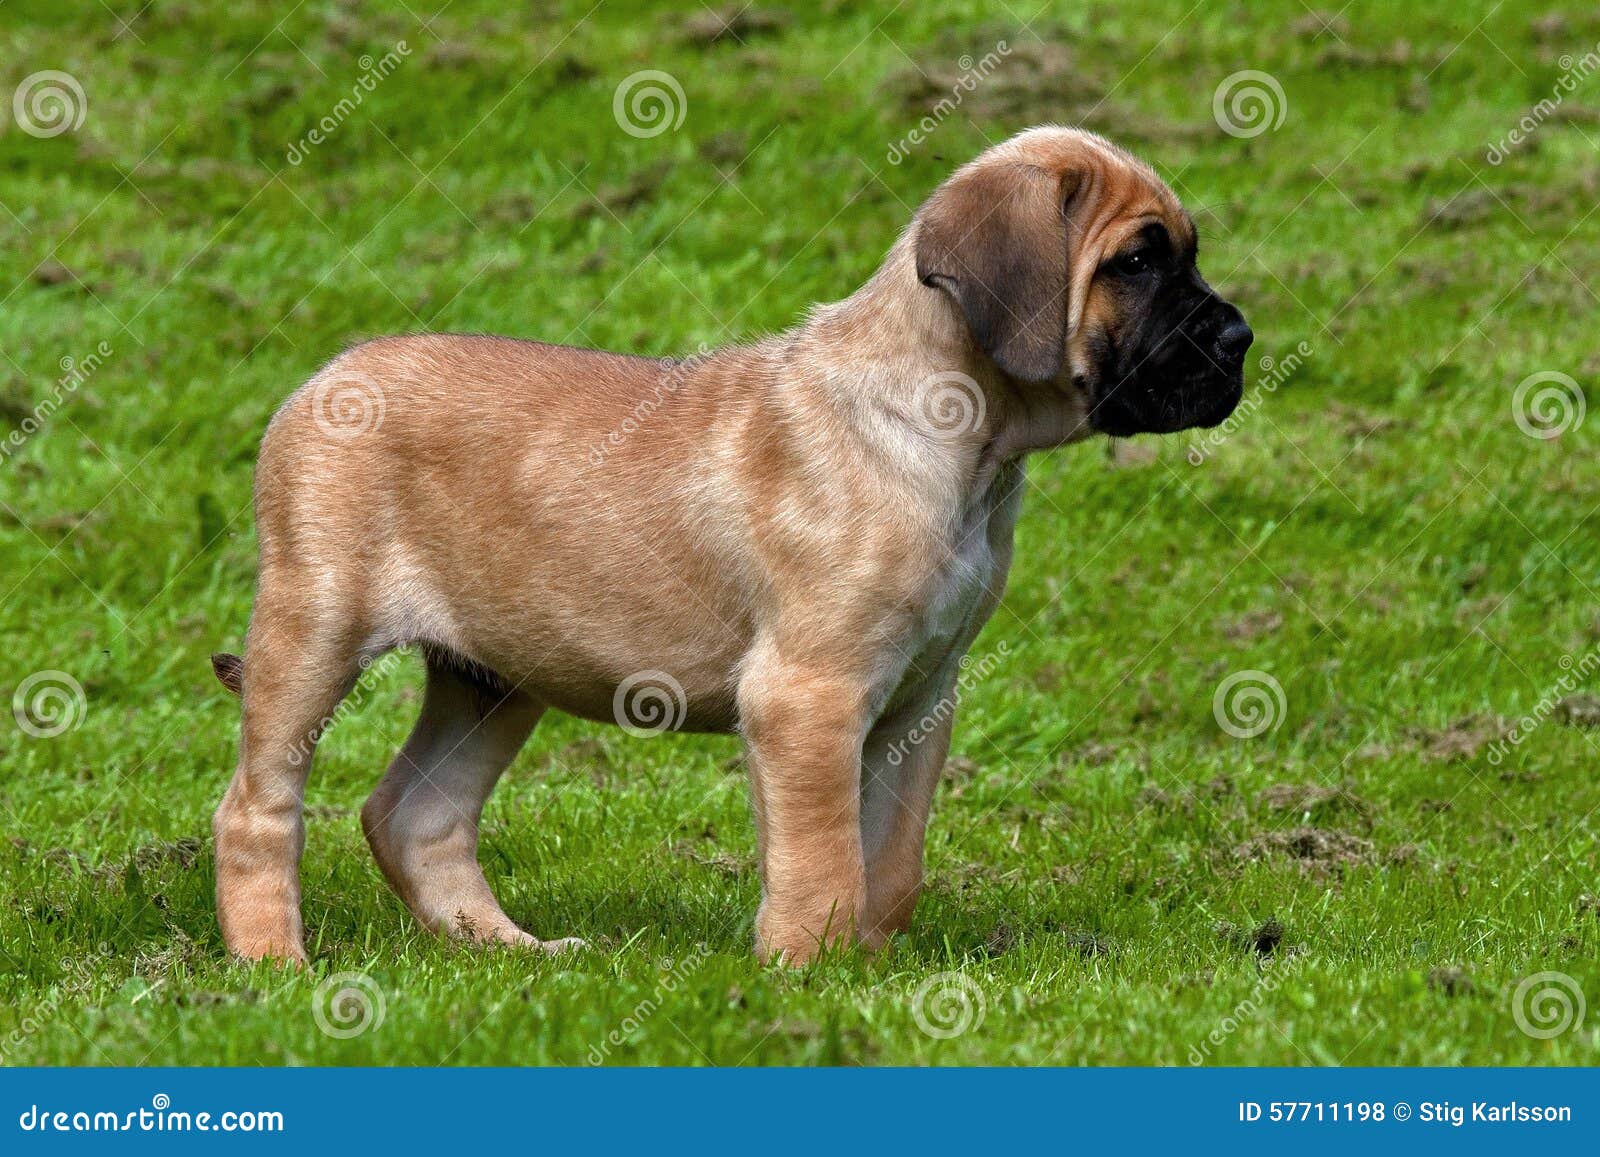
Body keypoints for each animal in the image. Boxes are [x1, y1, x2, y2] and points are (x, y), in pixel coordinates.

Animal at [209, 126, 1248, 966]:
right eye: (1138, 262)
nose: (1240, 335)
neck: (955, 430)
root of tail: (325, 378)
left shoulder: (919, 697)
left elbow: (891, 862)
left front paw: (870, 970)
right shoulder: (808, 696)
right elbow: (825, 860)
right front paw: (805, 976)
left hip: (493, 673)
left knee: (416, 814)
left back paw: (509, 949)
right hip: (315, 631)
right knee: (258, 807)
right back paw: (275, 963)